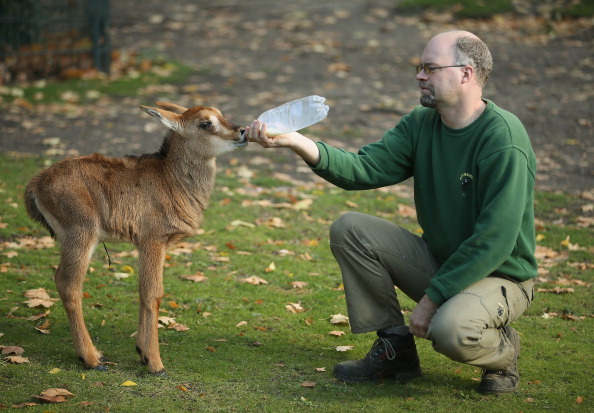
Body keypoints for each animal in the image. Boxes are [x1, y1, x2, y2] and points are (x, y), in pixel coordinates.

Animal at [24, 102, 246, 374]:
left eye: (221, 115)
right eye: (205, 123)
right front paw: (155, 363)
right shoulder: (153, 239)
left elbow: (142, 291)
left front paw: (141, 352)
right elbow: (154, 293)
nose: (242, 131)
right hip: (80, 233)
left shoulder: (144, 244)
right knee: (68, 284)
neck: (170, 180)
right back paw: (91, 359)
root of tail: (36, 185)